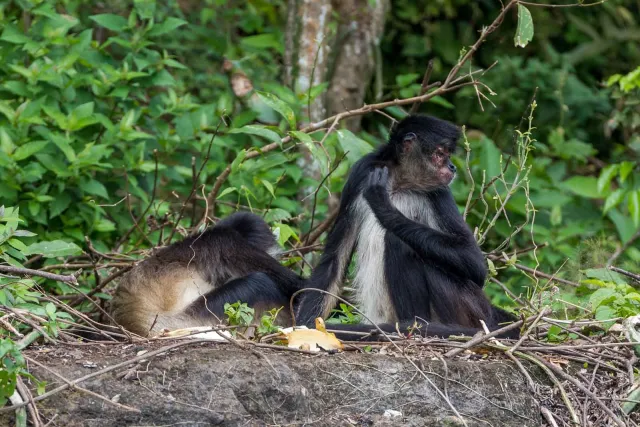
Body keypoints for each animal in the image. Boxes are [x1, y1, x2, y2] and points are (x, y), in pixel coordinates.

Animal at [296, 114, 520, 342]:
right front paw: (306, 326)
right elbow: (335, 259)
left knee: (399, 242)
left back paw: (416, 326)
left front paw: (384, 207)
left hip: (473, 308)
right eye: (440, 154)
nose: (452, 167)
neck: (400, 182)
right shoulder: (360, 173)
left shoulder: (440, 189)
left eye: (448, 155)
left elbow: (474, 262)